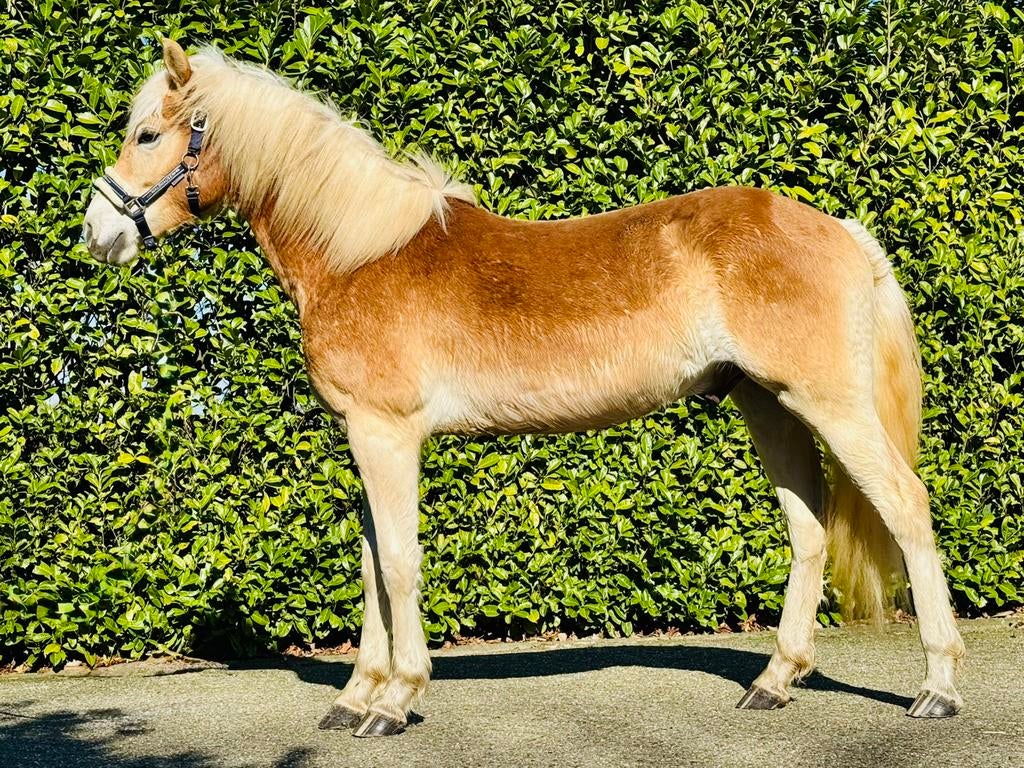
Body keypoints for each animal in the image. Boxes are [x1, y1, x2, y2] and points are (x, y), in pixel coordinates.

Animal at [83, 38, 965, 737]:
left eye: (149, 134)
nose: (99, 234)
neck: (359, 252)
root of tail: (842, 230)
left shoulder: (386, 433)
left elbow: (398, 562)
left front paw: (394, 700)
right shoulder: (362, 438)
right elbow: (369, 564)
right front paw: (354, 695)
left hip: (831, 404)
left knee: (906, 505)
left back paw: (938, 688)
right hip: (768, 405)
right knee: (809, 527)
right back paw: (775, 682)